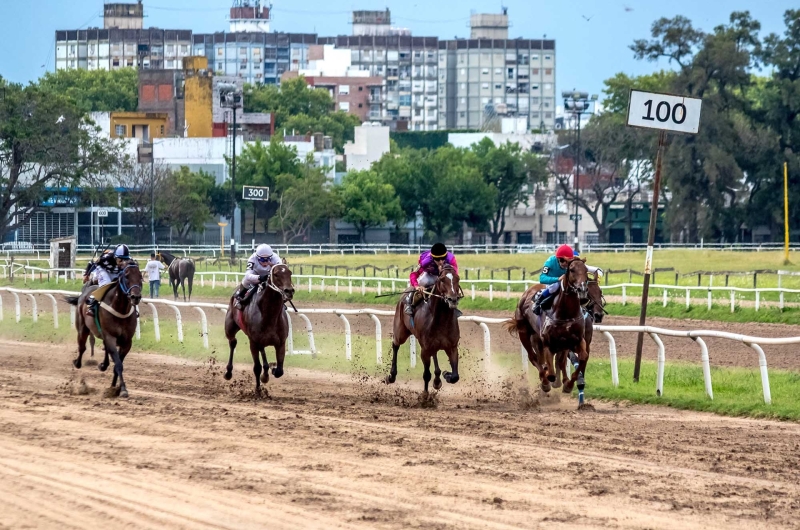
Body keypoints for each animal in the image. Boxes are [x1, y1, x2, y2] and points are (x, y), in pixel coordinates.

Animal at [65, 262, 142, 396]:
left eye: (141, 277)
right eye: (126, 277)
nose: (135, 297)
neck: (120, 309)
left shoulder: (127, 341)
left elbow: (118, 363)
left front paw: (114, 387)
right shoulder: (110, 336)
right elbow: (118, 364)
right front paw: (122, 389)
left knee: (105, 349)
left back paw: (103, 365)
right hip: (82, 328)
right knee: (82, 346)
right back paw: (77, 363)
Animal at [223, 262, 296, 394]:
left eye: (290, 272)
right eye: (276, 274)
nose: (289, 291)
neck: (269, 316)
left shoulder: (280, 343)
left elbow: (279, 370)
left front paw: (271, 370)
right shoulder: (253, 341)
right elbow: (257, 367)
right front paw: (258, 389)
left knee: (262, 353)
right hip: (230, 328)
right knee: (233, 342)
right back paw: (228, 372)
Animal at [388, 264, 462, 392]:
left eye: (458, 278)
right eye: (442, 280)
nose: (452, 299)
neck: (441, 321)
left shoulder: (452, 347)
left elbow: (455, 376)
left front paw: (446, 374)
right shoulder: (425, 349)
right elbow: (426, 374)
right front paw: (425, 395)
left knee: (435, 355)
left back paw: (437, 379)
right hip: (400, 331)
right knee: (395, 344)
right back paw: (392, 375)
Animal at [504, 256, 592, 396]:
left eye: (586, 270)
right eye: (572, 270)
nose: (582, 291)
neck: (566, 314)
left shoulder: (576, 340)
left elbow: (582, 357)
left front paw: (568, 385)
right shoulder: (548, 342)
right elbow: (550, 372)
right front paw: (549, 380)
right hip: (524, 332)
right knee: (533, 357)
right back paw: (544, 382)